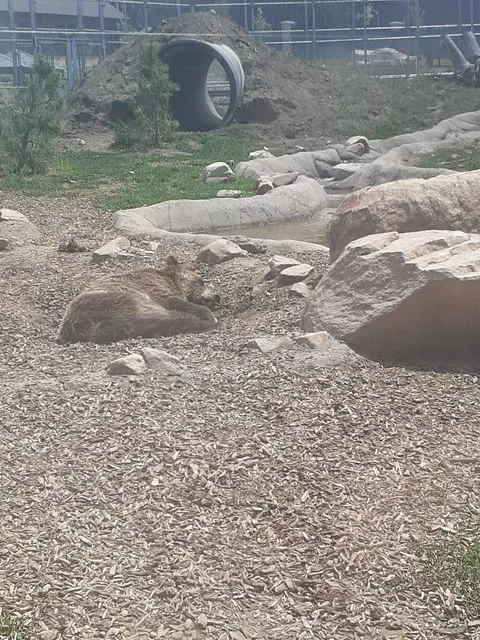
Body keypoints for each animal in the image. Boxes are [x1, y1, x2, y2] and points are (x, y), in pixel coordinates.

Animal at [57, 255, 220, 344]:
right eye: (201, 281)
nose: (217, 296)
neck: (171, 281)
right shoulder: (156, 290)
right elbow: (176, 302)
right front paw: (208, 315)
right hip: (120, 301)